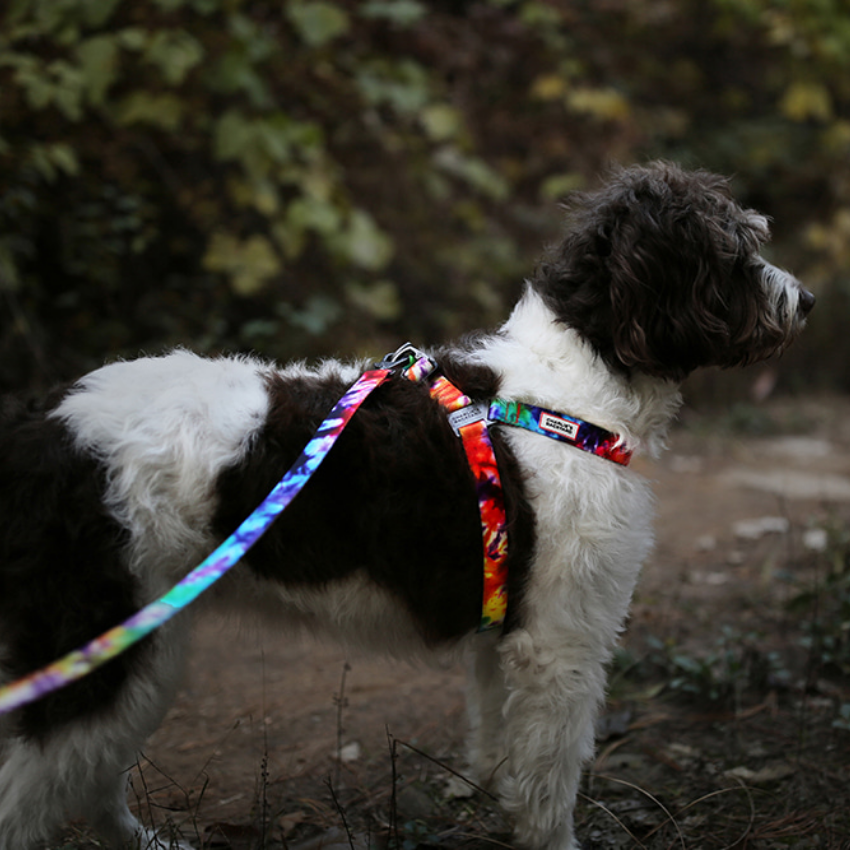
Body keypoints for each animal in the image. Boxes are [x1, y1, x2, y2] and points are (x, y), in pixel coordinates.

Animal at [0, 161, 808, 848]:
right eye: (738, 254)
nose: (808, 302)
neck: (573, 386)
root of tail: (39, 425)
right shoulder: (561, 640)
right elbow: (549, 778)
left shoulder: (505, 631)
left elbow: (503, 750)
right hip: (98, 645)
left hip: (140, 645)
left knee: (93, 781)